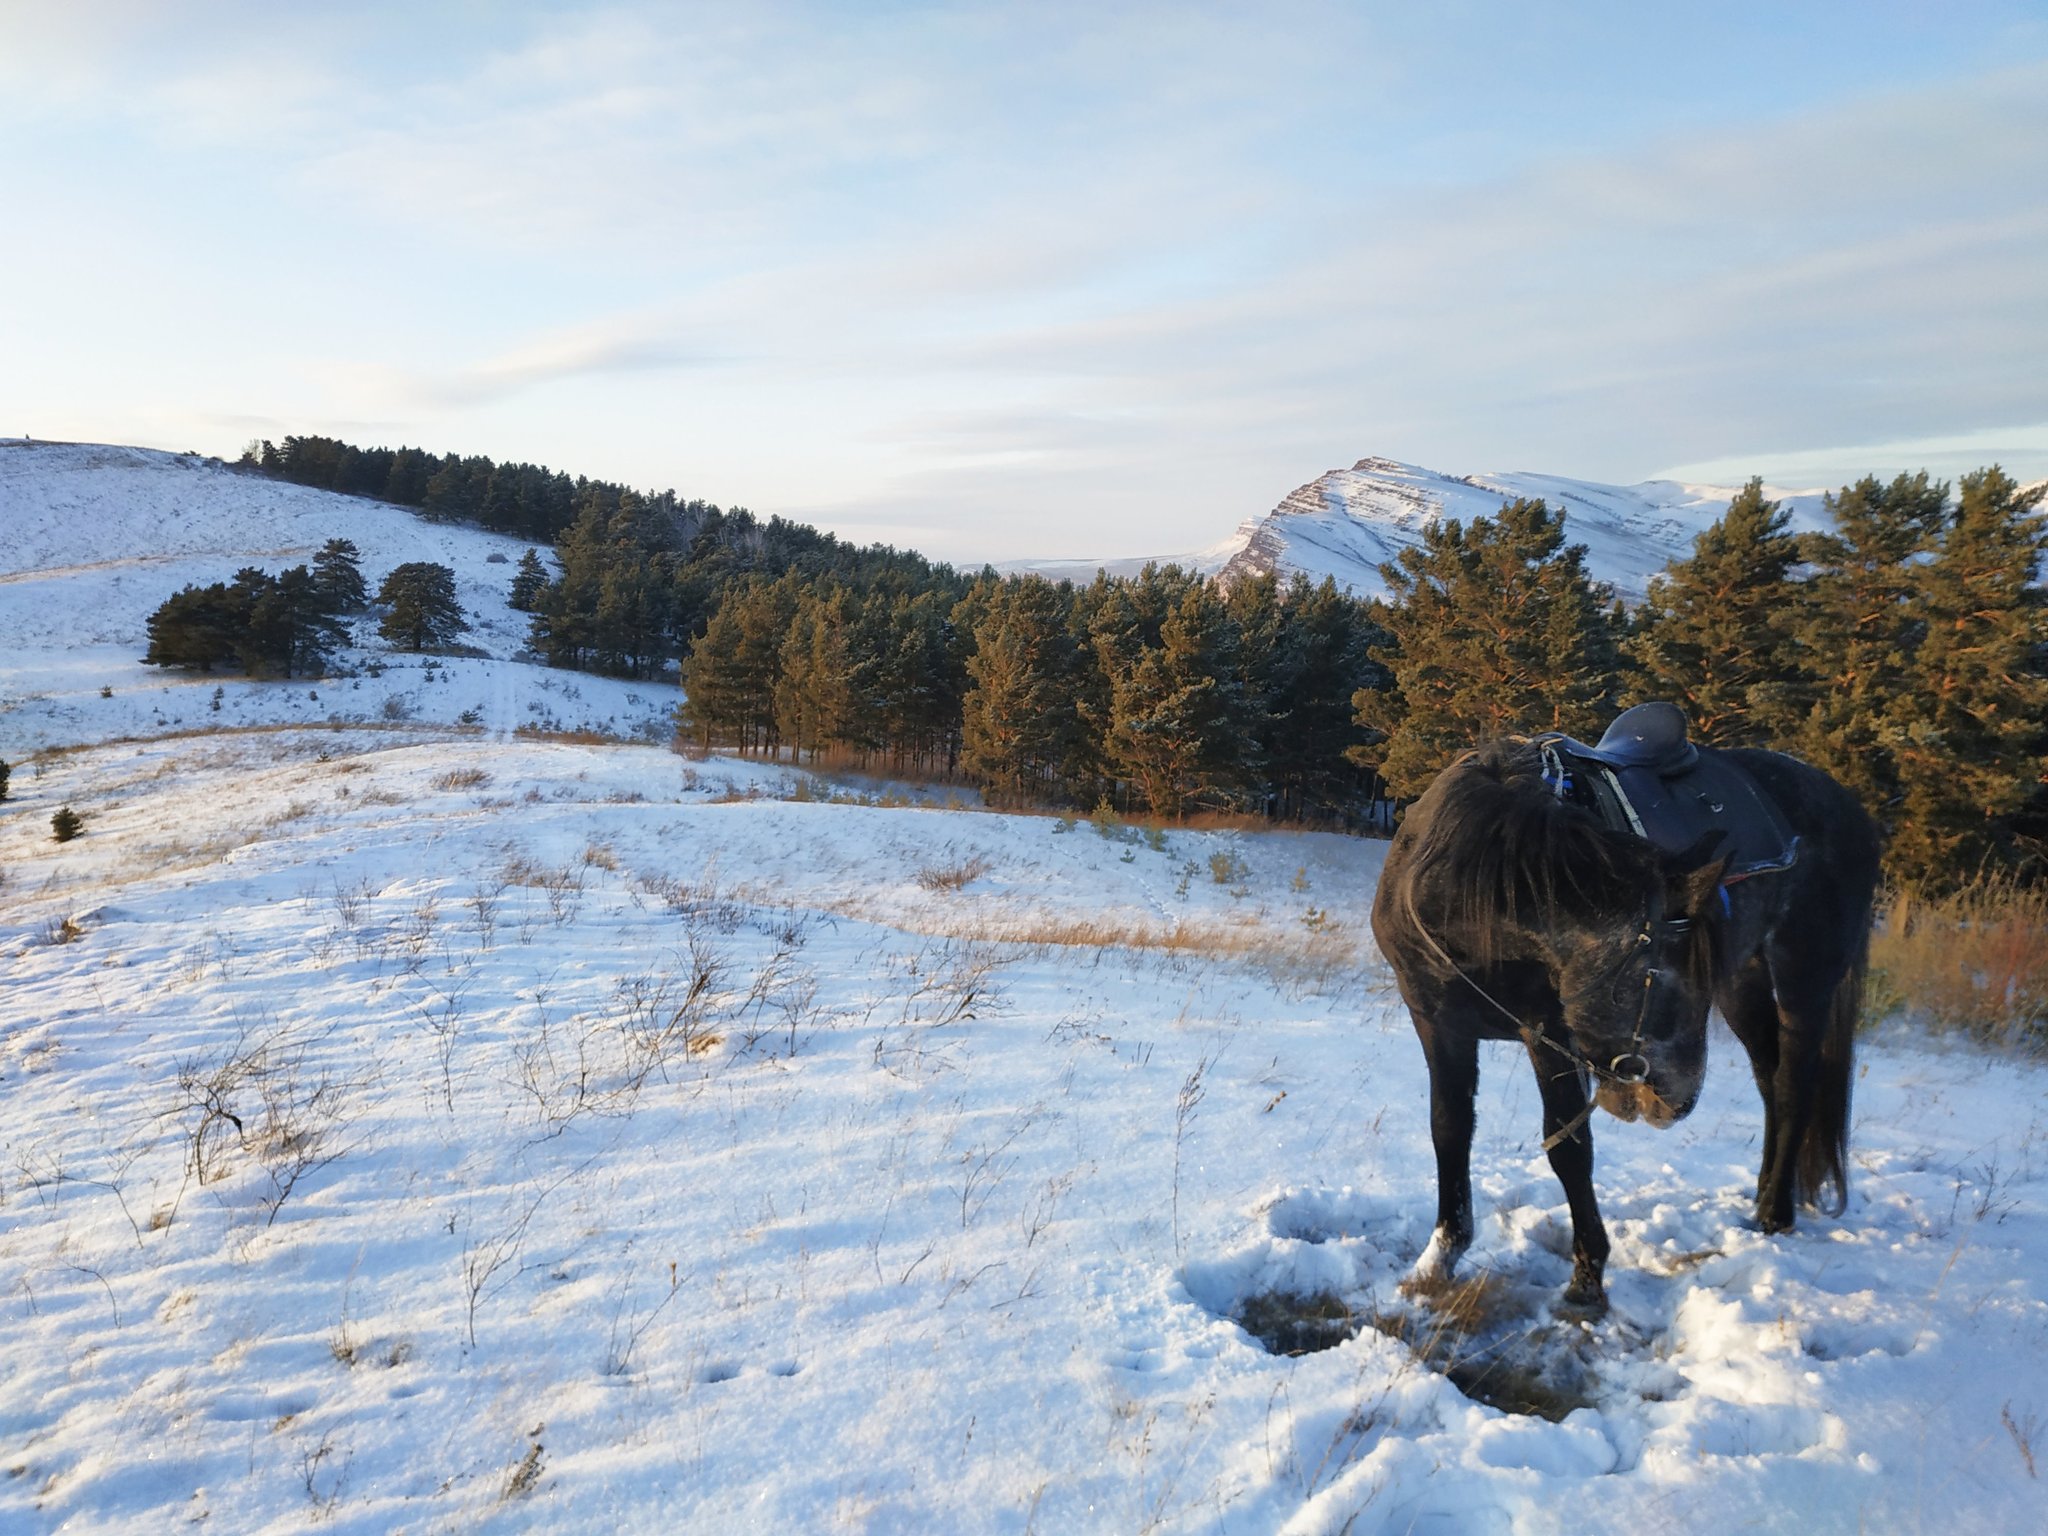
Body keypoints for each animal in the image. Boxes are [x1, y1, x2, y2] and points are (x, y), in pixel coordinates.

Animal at [1376, 708, 1875, 1310]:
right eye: (1668, 983)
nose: (1678, 1102)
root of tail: (1847, 804)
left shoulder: (1548, 1031)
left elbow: (1569, 1146)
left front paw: (1587, 1277)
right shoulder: (1435, 1021)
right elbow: (1449, 1129)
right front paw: (1440, 1257)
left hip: (1806, 977)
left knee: (1793, 1084)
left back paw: (1775, 1214)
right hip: (1745, 984)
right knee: (1770, 1079)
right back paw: (1760, 1198)